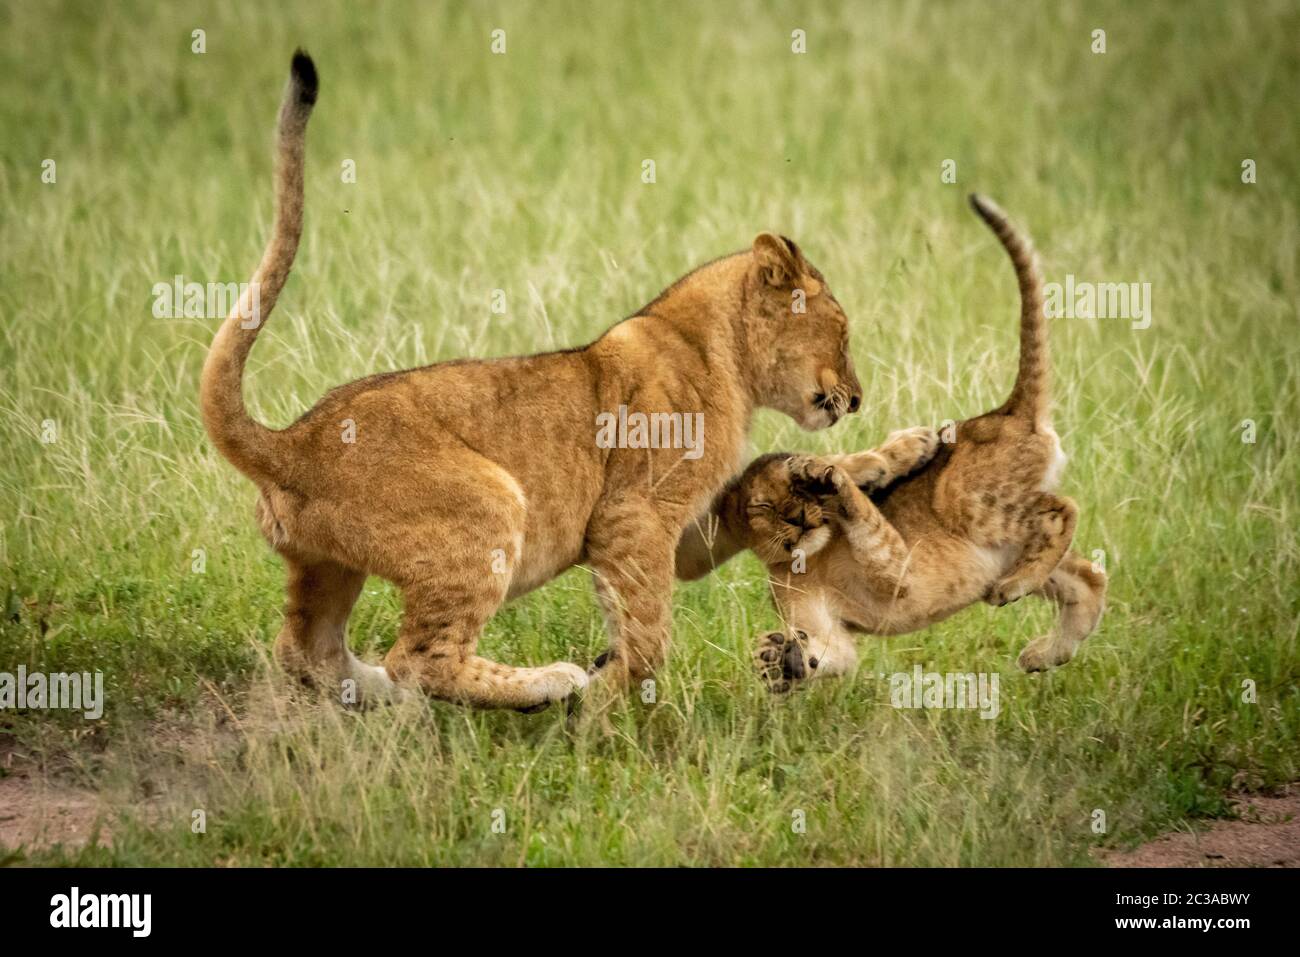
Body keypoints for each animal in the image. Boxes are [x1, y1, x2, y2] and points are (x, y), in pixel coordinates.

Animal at [200, 51, 862, 710]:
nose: (857, 400)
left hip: (326, 565)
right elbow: (648, 633)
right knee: (419, 658)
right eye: (844, 333)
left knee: (308, 647)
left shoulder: (682, 526)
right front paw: (604, 699)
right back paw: (546, 684)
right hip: (488, 504)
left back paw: (385, 696)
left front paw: (799, 500)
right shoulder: (633, 516)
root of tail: (291, 441)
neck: (719, 354)